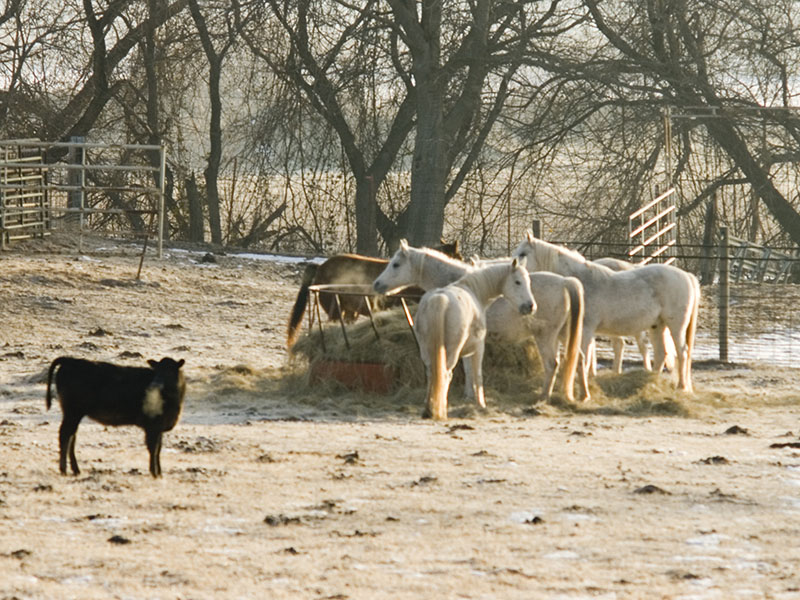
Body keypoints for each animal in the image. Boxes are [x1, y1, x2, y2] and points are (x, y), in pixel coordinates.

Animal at [373, 241, 584, 403]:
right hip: (563, 335)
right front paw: (469, 396)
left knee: (552, 364)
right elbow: (468, 367)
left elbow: (467, 368)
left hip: (546, 337)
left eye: (395, 264)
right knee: (578, 358)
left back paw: (543, 397)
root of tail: (565, 282)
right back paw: (580, 395)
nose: (376, 284)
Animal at [411, 257, 535, 420]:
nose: (530, 306)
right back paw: (441, 411)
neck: (475, 292)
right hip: (451, 351)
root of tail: (440, 299)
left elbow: (468, 372)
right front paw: (481, 404)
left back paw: (428, 409)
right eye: (517, 282)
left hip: (426, 350)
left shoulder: (466, 353)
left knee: (431, 373)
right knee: (445, 374)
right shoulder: (478, 347)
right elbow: (477, 375)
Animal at [512, 232, 700, 400]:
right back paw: (651, 381)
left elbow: (583, 358)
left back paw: (681, 387)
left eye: (523, 253)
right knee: (662, 353)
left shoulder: (585, 330)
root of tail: (687, 276)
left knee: (682, 353)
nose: (513, 268)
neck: (581, 282)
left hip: (676, 326)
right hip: (657, 326)